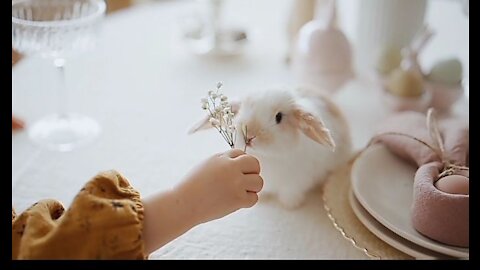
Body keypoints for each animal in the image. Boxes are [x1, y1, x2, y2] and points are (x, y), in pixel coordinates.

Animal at [189, 86, 350, 209]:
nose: (249, 135)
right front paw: (263, 198)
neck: (269, 156)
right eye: (242, 109)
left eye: (279, 117)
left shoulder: (295, 181)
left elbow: (290, 191)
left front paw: (290, 205)